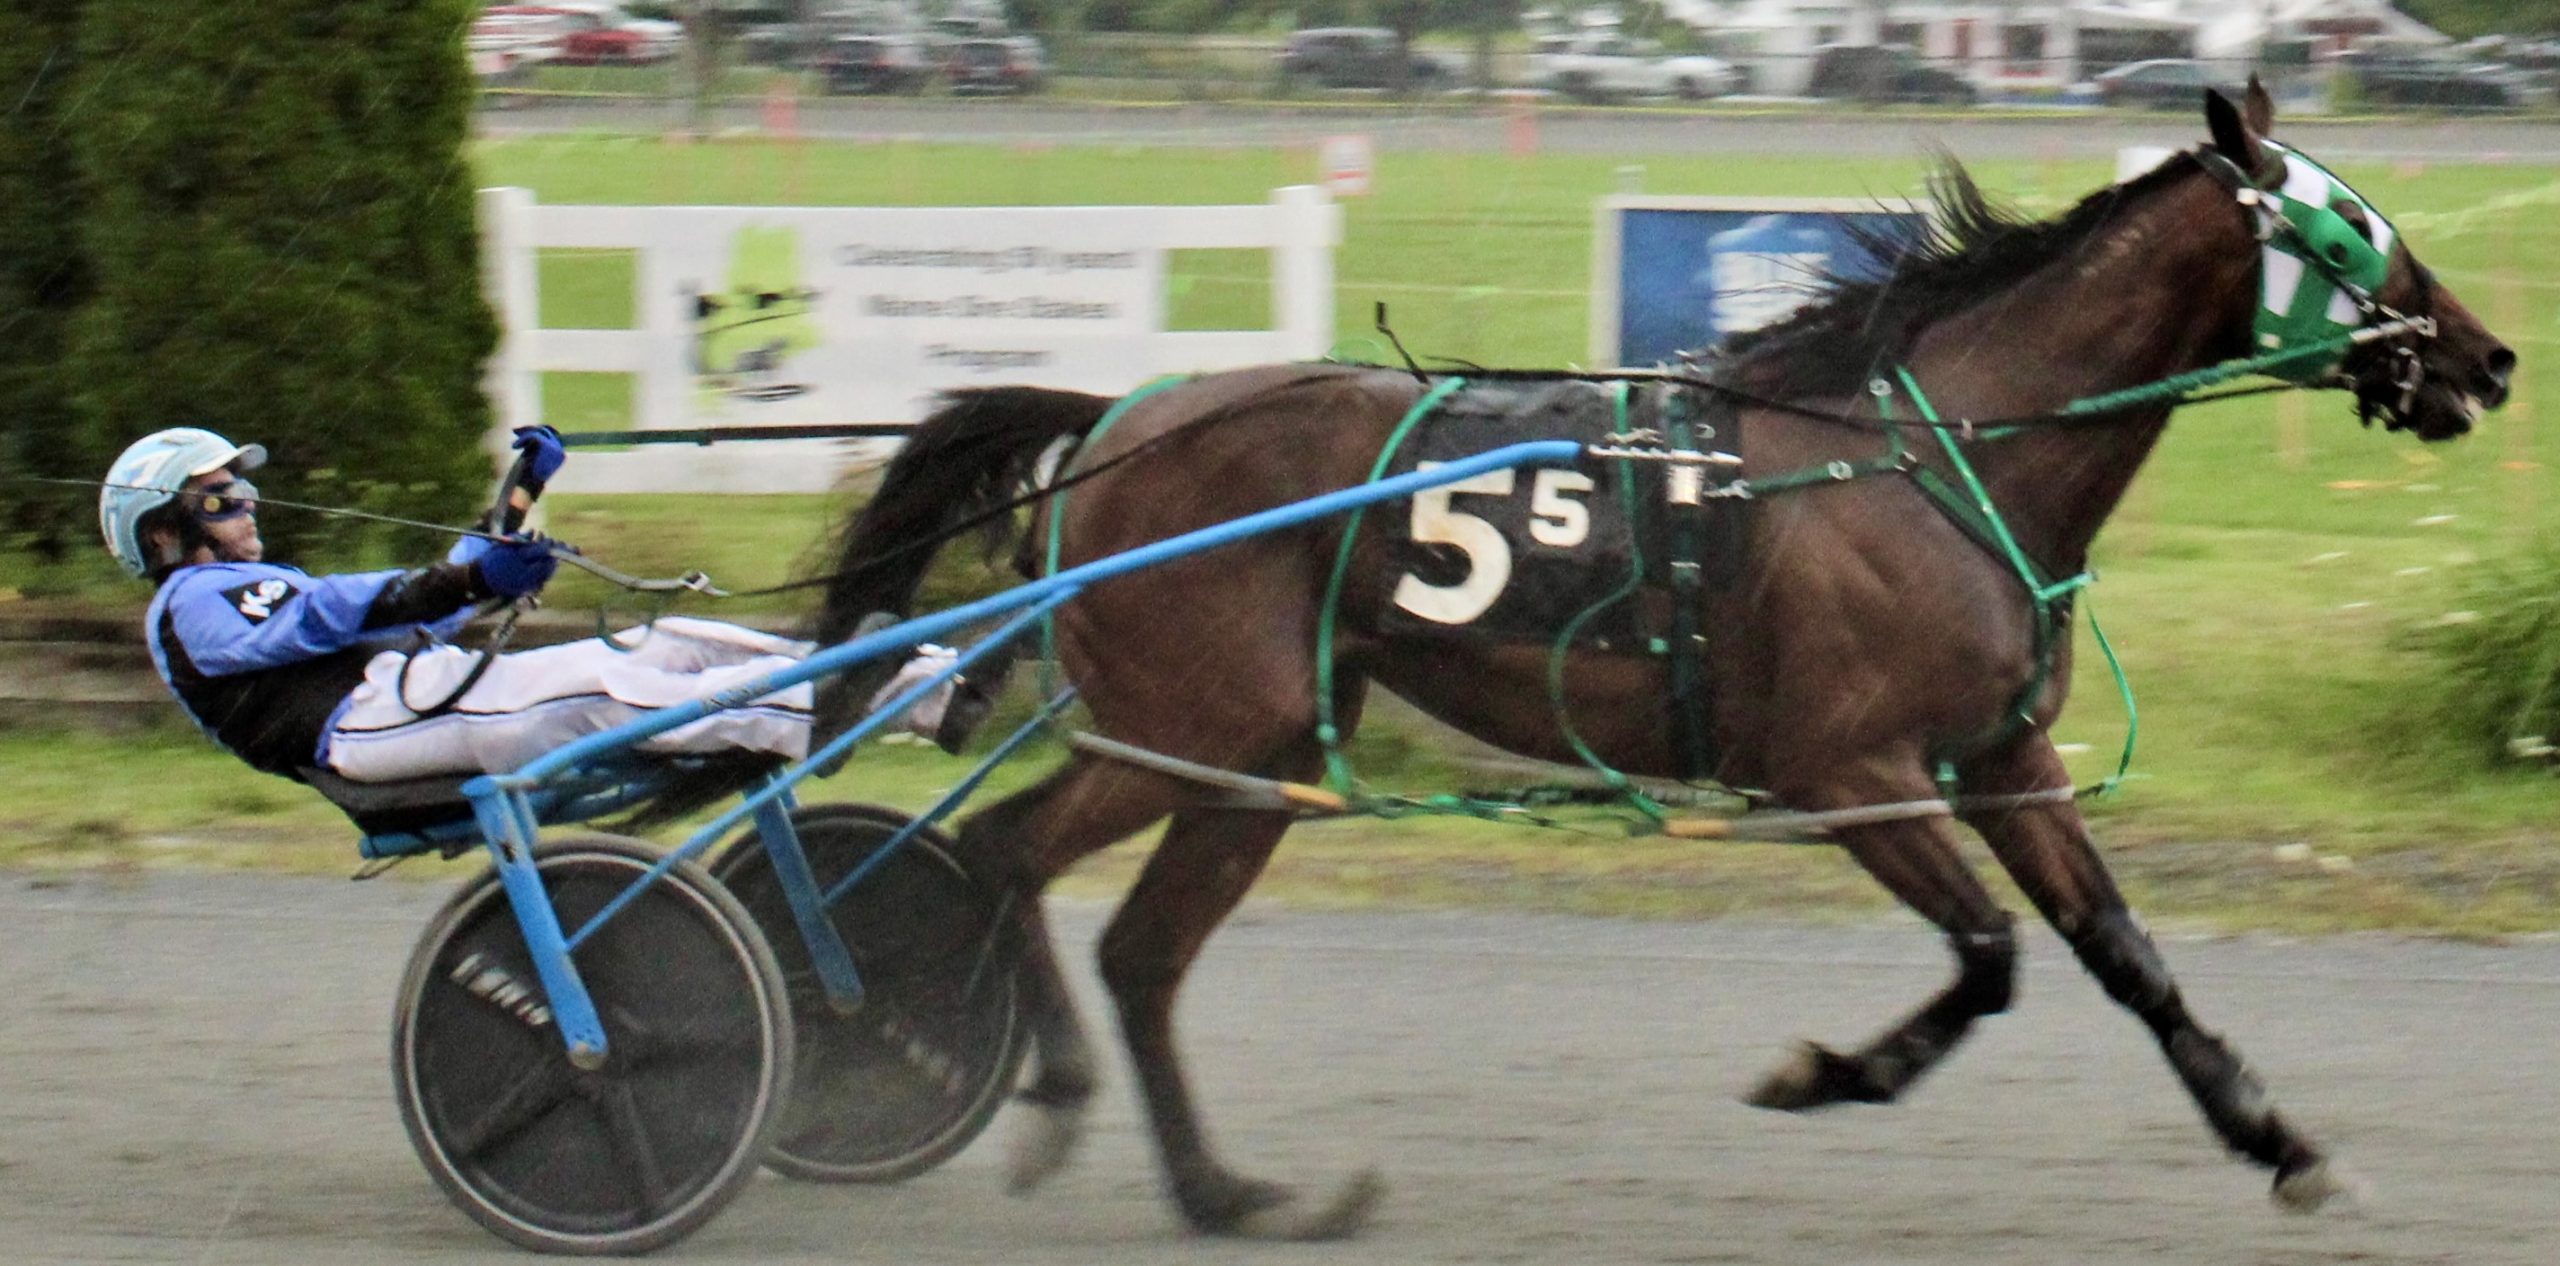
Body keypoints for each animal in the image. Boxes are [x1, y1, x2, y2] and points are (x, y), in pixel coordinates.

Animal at [803, 86, 2519, 1237]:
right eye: (2351, 229)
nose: (2492, 358)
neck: (1928, 450)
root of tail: (1117, 413)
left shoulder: (2002, 756)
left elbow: (2123, 953)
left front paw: (2283, 1140)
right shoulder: (1849, 770)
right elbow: (1988, 956)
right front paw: (1825, 1070)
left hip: (1266, 749)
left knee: (1140, 948)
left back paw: (1230, 1188)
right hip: (1196, 716)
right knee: (1000, 856)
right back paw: (1013, 1086)